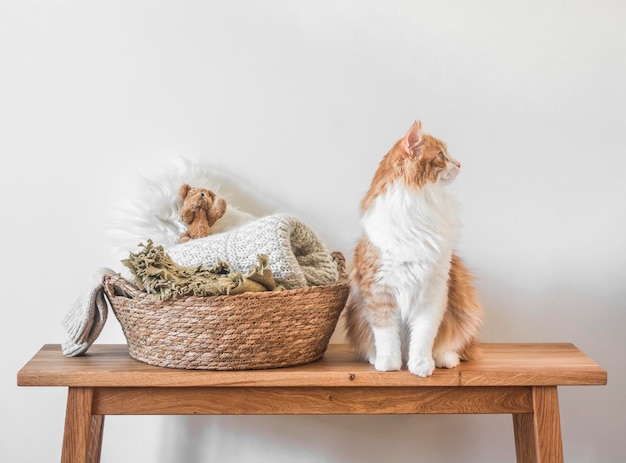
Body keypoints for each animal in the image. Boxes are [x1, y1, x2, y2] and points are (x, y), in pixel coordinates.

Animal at [342, 121, 482, 378]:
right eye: (441, 155)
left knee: (453, 345)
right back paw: (375, 357)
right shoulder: (380, 292)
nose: (459, 164)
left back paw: (444, 359)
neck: (418, 205)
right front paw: (389, 363)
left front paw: (421, 364)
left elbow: (424, 335)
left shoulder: (433, 291)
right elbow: (386, 334)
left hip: (464, 312)